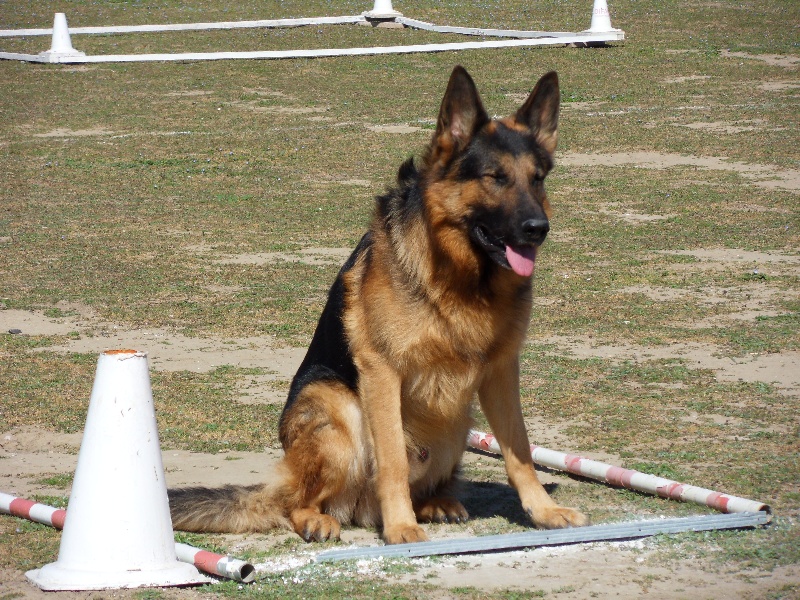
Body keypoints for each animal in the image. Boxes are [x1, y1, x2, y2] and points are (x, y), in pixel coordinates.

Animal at [170, 65, 588, 544]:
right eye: (495, 177)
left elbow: (519, 452)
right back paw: (320, 517)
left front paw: (544, 511)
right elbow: (392, 460)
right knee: (296, 501)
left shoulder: (501, 371)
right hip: (338, 410)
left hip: (456, 421)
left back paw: (435, 503)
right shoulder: (383, 371)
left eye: (537, 178)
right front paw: (401, 526)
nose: (538, 228)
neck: (461, 276)